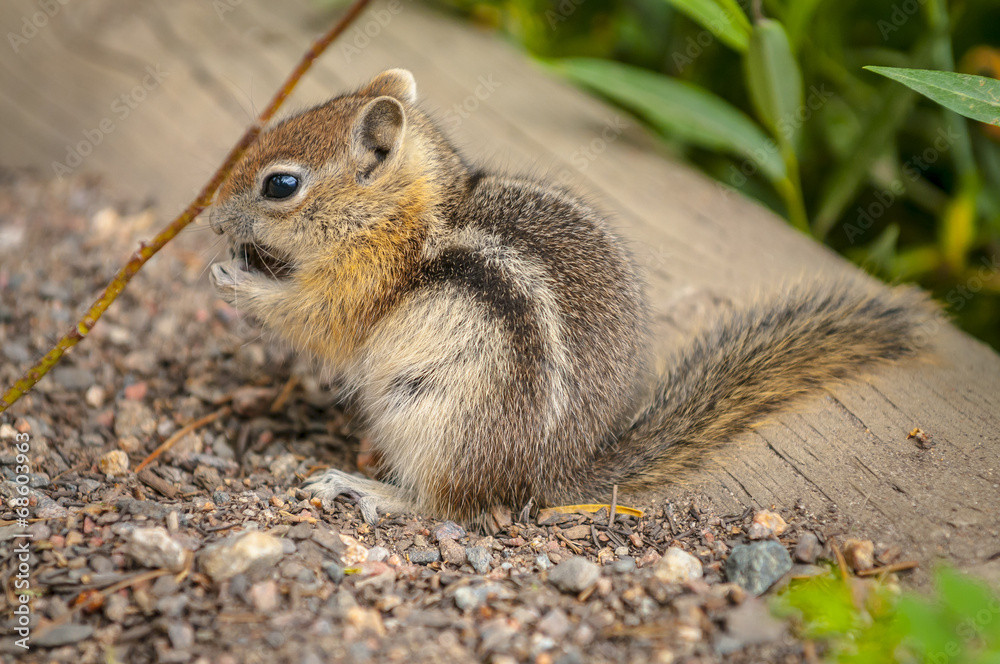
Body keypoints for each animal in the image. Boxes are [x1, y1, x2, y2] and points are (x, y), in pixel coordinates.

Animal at [209, 69, 933, 526]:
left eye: (280, 185)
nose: (212, 218)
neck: (411, 218)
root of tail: (550, 478)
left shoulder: (362, 284)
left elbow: (316, 321)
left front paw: (234, 280)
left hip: (437, 422)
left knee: (447, 507)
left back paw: (362, 485)